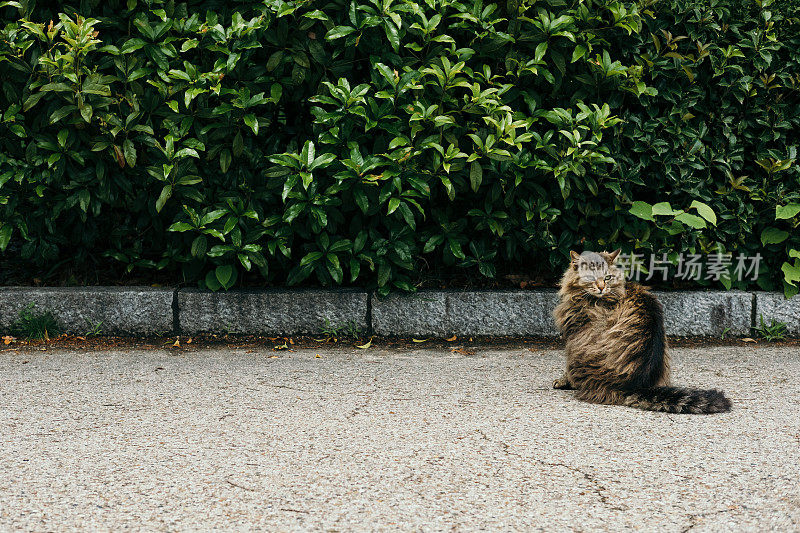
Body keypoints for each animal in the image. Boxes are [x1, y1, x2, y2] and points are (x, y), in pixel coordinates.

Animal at [556, 247, 732, 414]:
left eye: (607, 278)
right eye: (591, 278)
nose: (601, 287)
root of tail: (635, 385)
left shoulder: (576, 336)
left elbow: (566, 370)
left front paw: (563, 381)